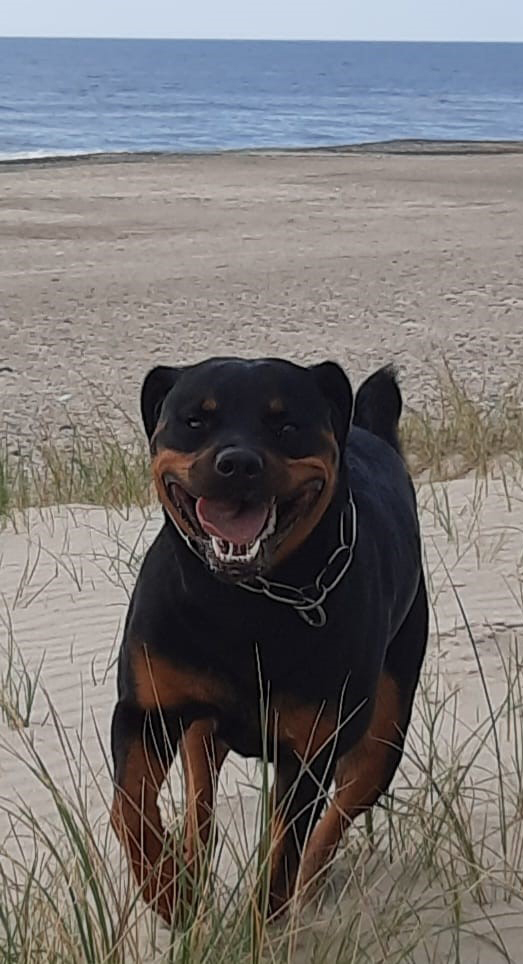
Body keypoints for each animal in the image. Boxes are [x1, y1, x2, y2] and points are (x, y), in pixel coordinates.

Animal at [110, 357, 428, 922]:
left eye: (286, 425)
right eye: (195, 420)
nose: (238, 463)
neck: (245, 604)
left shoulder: (310, 752)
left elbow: (281, 862)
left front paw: (258, 926)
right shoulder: (145, 712)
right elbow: (131, 811)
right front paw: (171, 894)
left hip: (383, 732)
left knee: (333, 822)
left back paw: (310, 892)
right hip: (201, 729)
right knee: (200, 800)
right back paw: (191, 868)